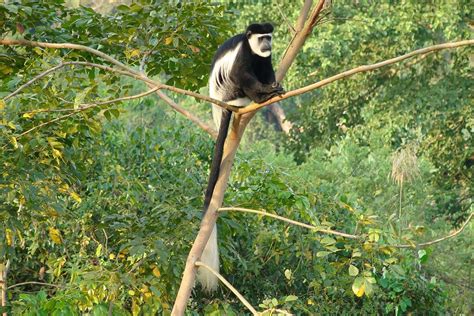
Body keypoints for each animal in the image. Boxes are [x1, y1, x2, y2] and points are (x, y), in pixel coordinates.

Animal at [197, 23, 284, 292]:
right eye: (262, 37)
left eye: (269, 37)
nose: (267, 44)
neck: (253, 47)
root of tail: (221, 103)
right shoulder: (245, 53)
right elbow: (240, 73)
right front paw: (266, 90)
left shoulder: (264, 57)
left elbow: (267, 68)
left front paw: (274, 85)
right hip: (230, 90)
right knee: (241, 79)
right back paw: (261, 97)